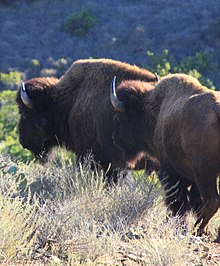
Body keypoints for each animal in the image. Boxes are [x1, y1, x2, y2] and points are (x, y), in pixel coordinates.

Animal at [111, 74, 220, 236]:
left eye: (119, 117)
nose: (115, 140)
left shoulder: (168, 171)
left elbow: (177, 201)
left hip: (204, 171)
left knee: (212, 200)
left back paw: (197, 229)